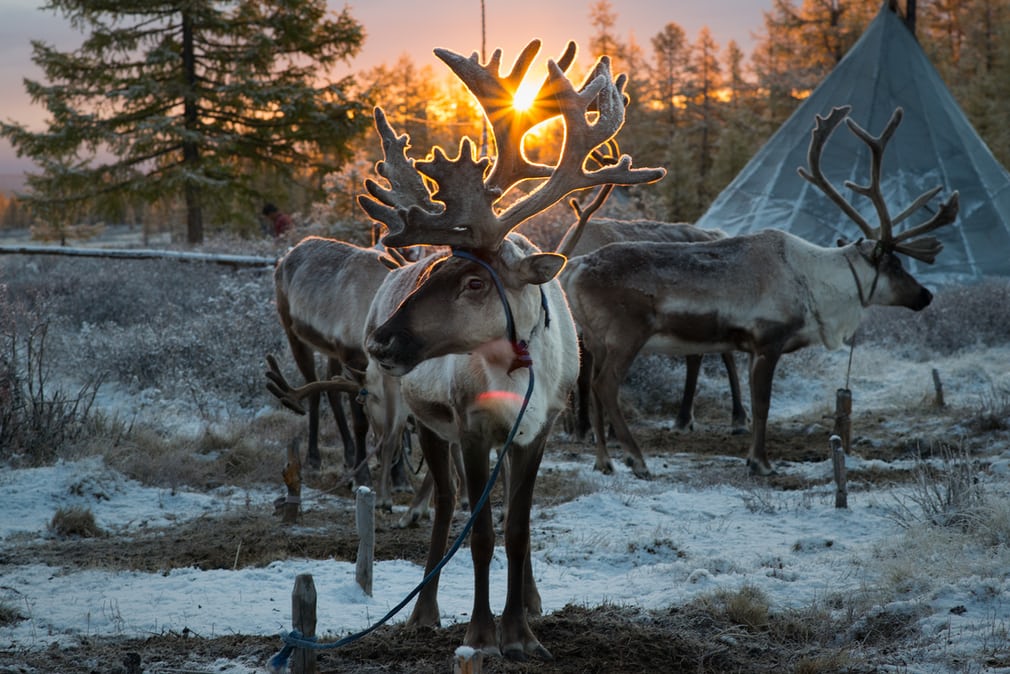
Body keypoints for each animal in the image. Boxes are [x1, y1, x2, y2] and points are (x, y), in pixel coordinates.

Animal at [357, 40, 665, 660]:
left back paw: (531, 599)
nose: (380, 339)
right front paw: (481, 634)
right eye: (435, 269)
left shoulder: (536, 430)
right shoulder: (473, 430)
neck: (514, 373)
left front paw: (521, 632)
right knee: (447, 503)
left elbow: (519, 528)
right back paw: (423, 612)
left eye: (476, 281)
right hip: (429, 424)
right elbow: (479, 532)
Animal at [563, 105, 958, 478]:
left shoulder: (751, 347)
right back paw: (637, 459)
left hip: (595, 339)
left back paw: (604, 461)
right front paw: (761, 463)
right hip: (626, 334)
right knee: (605, 386)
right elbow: (763, 406)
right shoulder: (769, 341)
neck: (815, 285)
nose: (925, 295)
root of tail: (575, 267)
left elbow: (754, 402)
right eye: (894, 264)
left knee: (593, 386)